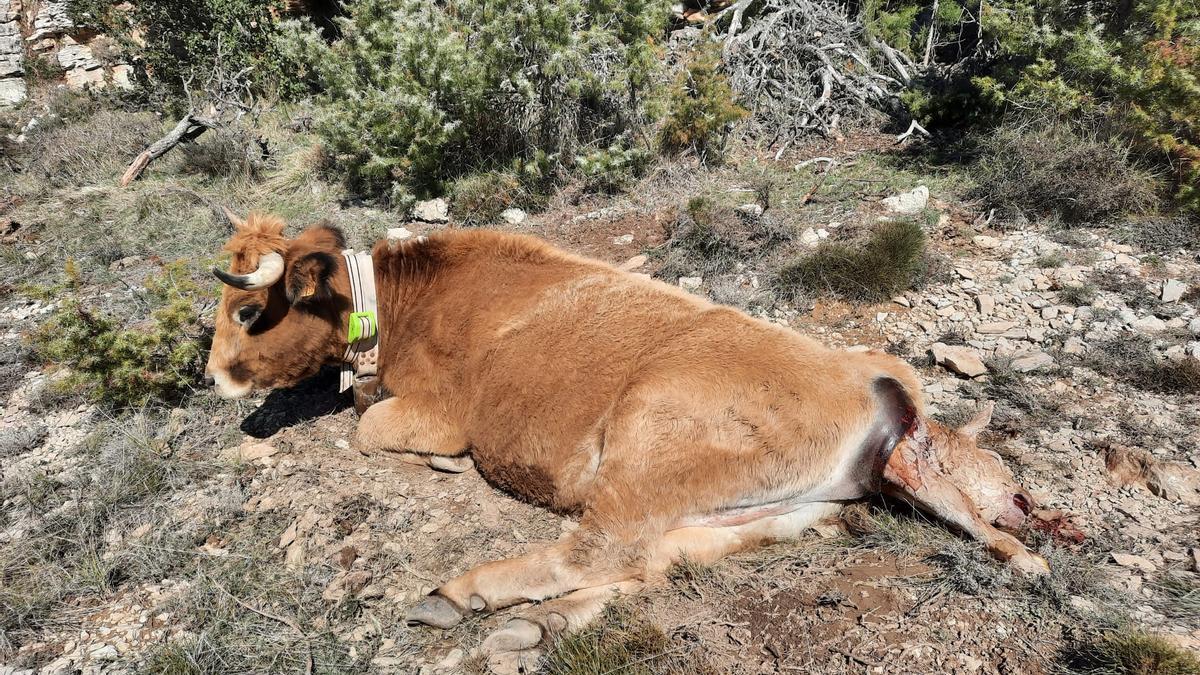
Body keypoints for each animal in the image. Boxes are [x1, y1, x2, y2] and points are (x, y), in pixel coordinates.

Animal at [206, 212, 1051, 662]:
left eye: (247, 312)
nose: (213, 376)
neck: (408, 303)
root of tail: (866, 381)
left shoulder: (443, 410)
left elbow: (370, 427)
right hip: (767, 514)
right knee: (651, 563)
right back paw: (538, 623)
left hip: (643, 448)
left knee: (594, 551)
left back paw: (463, 593)